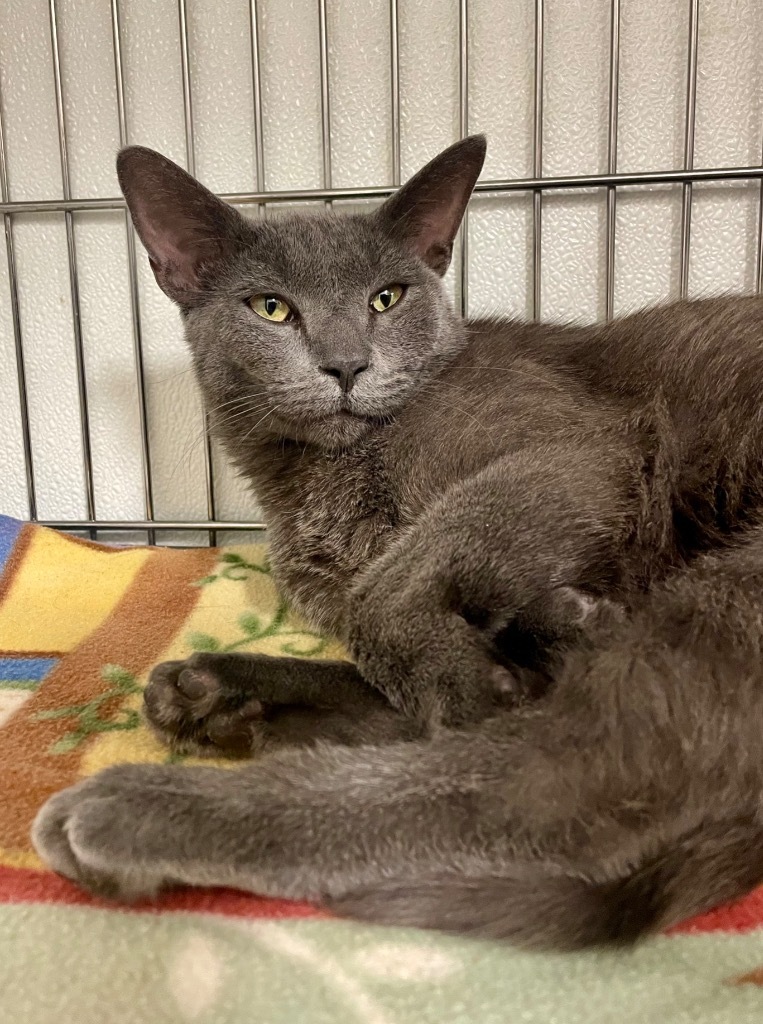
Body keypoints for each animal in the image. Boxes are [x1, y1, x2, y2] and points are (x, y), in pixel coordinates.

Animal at [31, 138, 763, 950]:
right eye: (270, 307)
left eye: (387, 298)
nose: (347, 364)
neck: (318, 483)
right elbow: (386, 652)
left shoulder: (575, 449)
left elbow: (387, 597)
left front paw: (472, 676)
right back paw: (213, 696)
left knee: (556, 785)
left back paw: (137, 809)